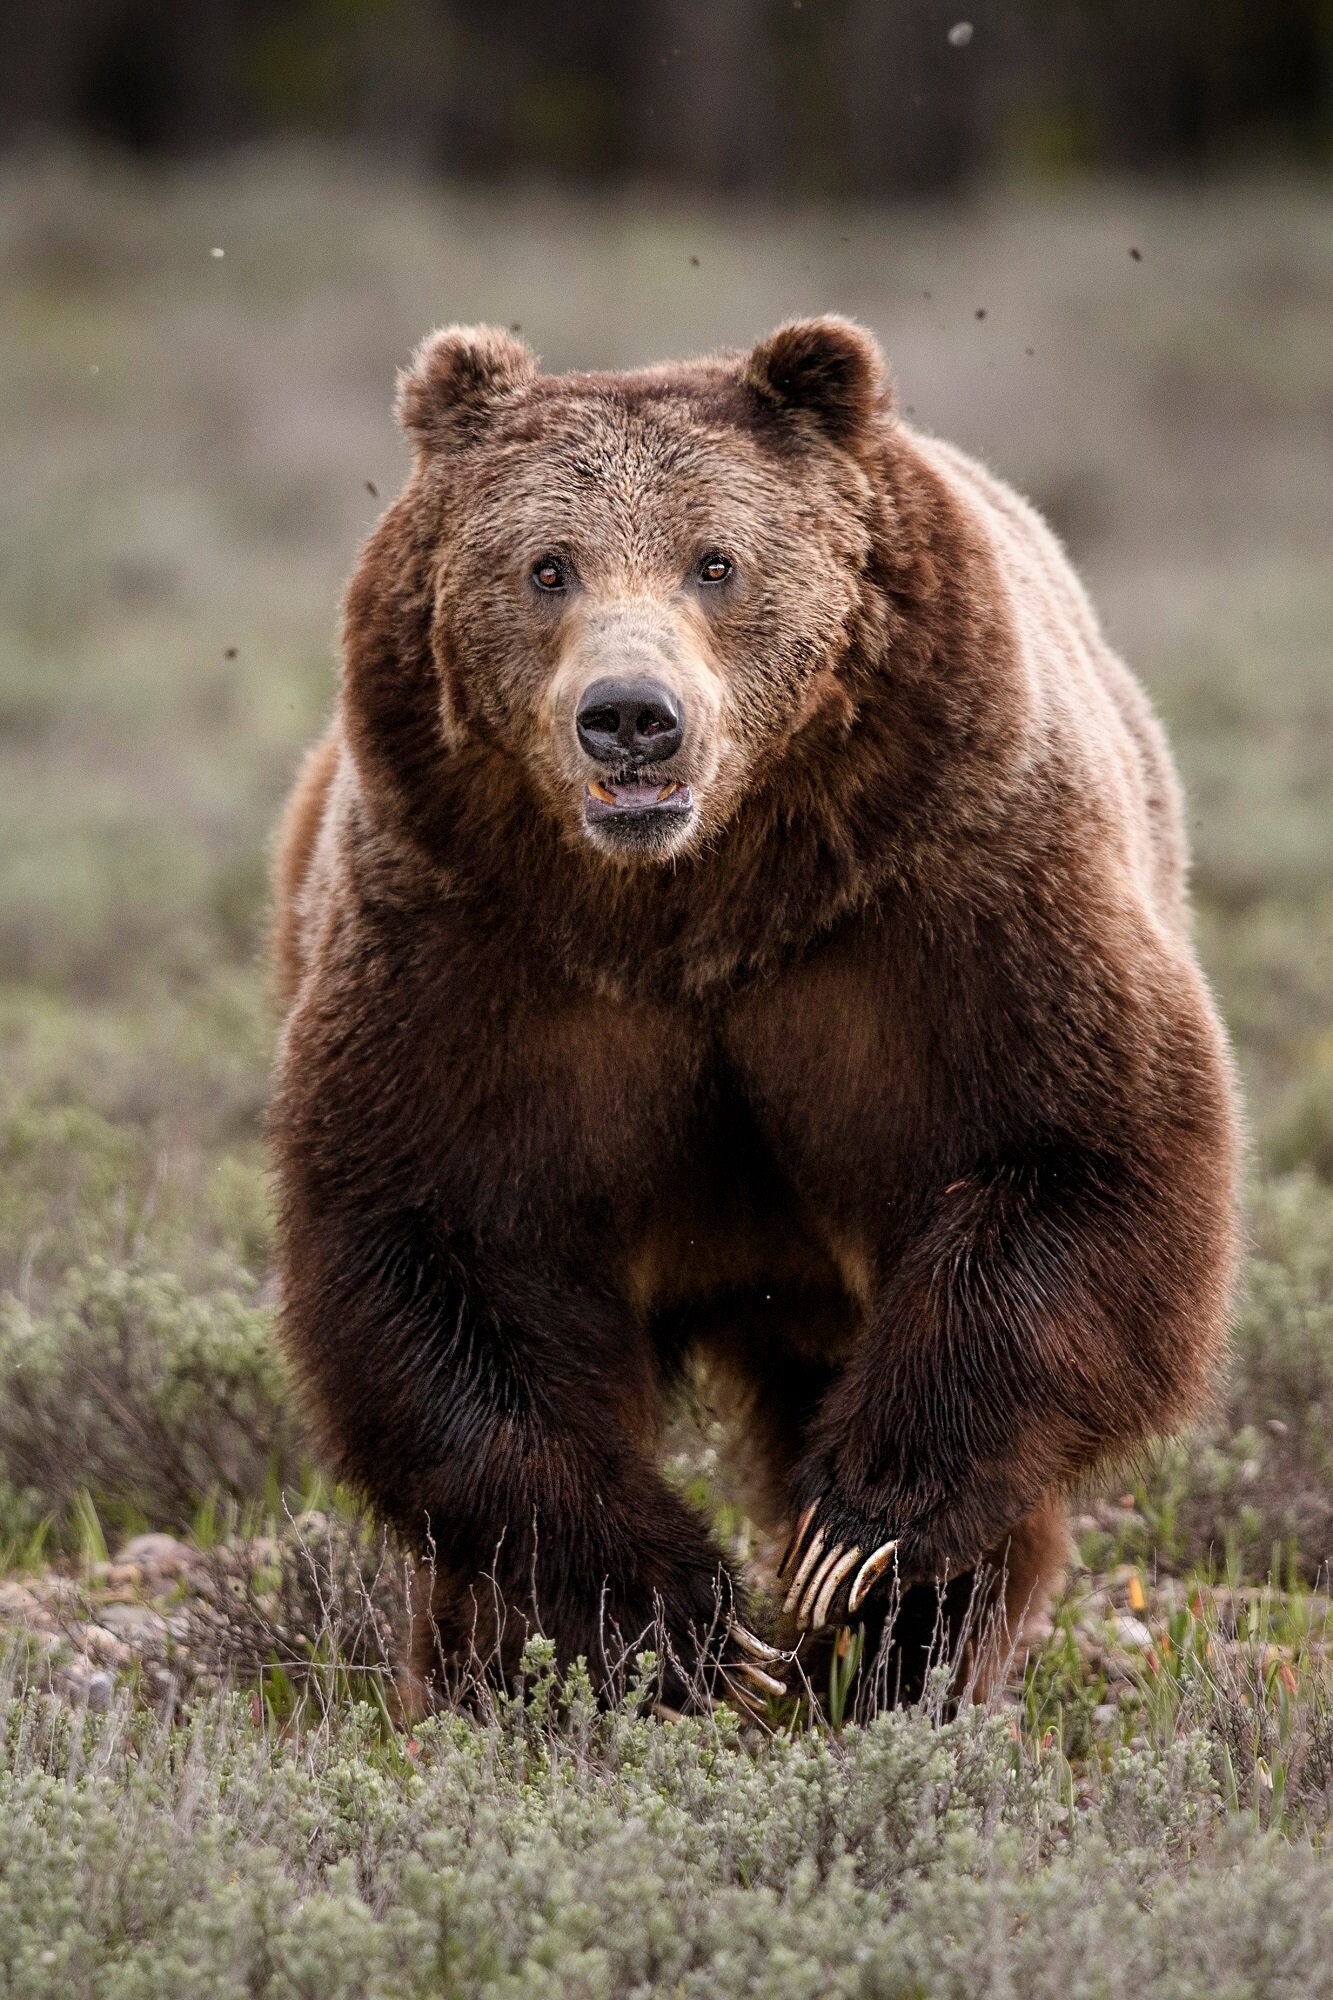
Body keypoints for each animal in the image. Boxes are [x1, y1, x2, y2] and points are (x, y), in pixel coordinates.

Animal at [270, 315, 1240, 1716]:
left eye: (716, 559)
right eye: (546, 565)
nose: (630, 717)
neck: (703, 902)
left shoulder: (950, 889)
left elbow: (1074, 1154)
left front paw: (857, 1537)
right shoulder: (476, 944)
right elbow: (441, 1242)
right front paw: (674, 1611)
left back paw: (901, 1668)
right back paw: (485, 1682)